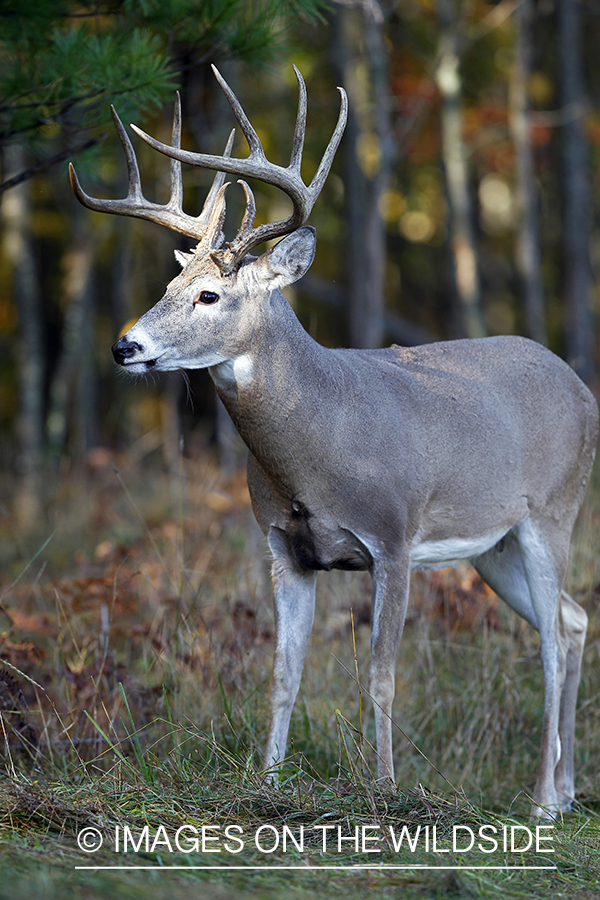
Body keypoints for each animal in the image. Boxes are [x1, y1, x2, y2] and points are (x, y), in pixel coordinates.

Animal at [69, 67, 596, 820]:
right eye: (169, 283)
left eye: (208, 296)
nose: (124, 346)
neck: (319, 445)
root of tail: (581, 387)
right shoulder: (285, 547)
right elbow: (283, 675)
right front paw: (265, 786)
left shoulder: (394, 536)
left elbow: (380, 676)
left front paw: (385, 789)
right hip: (494, 546)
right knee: (575, 620)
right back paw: (570, 788)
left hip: (554, 510)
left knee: (553, 636)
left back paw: (544, 802)